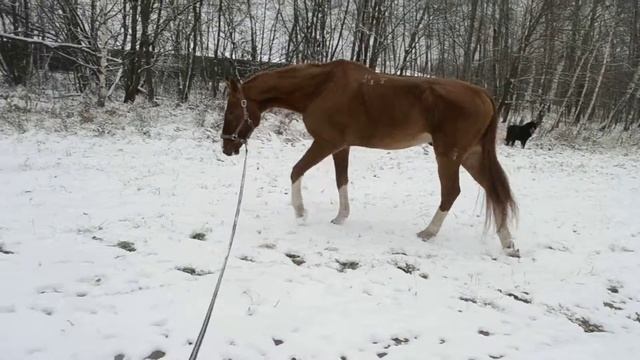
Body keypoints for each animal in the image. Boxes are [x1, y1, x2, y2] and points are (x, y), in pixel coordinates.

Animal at [222, 59, 516, 256]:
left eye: (232, 111)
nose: (227, 148)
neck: (321, 88)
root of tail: (484, 94)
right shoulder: (341, 147)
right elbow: (341, 180)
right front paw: (340, 217)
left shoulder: (326, 143)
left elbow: (296, 170)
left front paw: (301, 212)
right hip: (471, 156)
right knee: (495, 191)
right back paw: (508, 243)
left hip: (449, 155)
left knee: (452, 192)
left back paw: (428, 232)